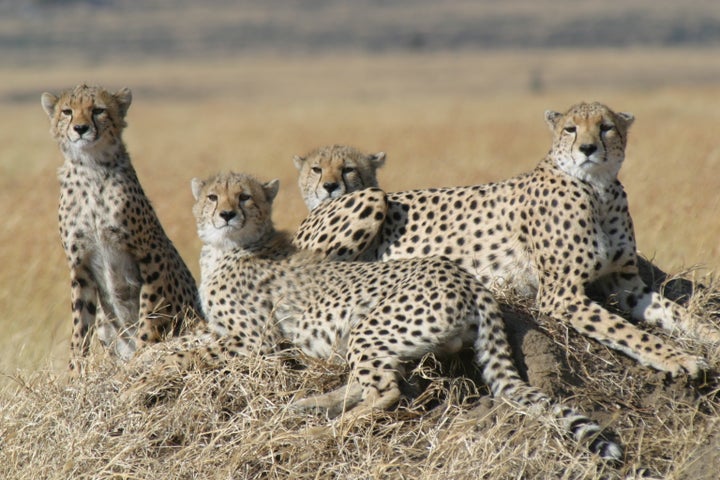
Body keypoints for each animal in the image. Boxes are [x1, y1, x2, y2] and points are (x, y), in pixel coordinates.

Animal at [40, 85, 201, 372]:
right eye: (67, 111)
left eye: (98, 110)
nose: (80, 128)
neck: (90, 168)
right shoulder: (79, 265)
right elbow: (80, 326)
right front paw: (76, 373)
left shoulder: (149, 254)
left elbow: (149, 312)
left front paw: (143, 354)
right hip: (105, 323)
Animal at [138, 171, 620, 460]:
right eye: (213, 196)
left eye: (245, 197)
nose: (226, 214)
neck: (230, 248)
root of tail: (468, 279)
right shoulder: (224, 331)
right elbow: (183, 343)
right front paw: (142, 362)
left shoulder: (257, 341)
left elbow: (194, 354)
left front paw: (155, 368)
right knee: (367, 383)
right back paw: (309, 406)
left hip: (370, 326)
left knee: (387, 392)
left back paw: (319, 432)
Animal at [294, 103, 720, 376]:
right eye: (571, 128)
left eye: (606, 127)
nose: (587, 148)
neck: (598, 189)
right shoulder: (561, 295)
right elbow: (626, 331)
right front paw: (676, 359)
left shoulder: (629, 286)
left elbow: (679, 315)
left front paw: (708, 338)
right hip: (371, 198)